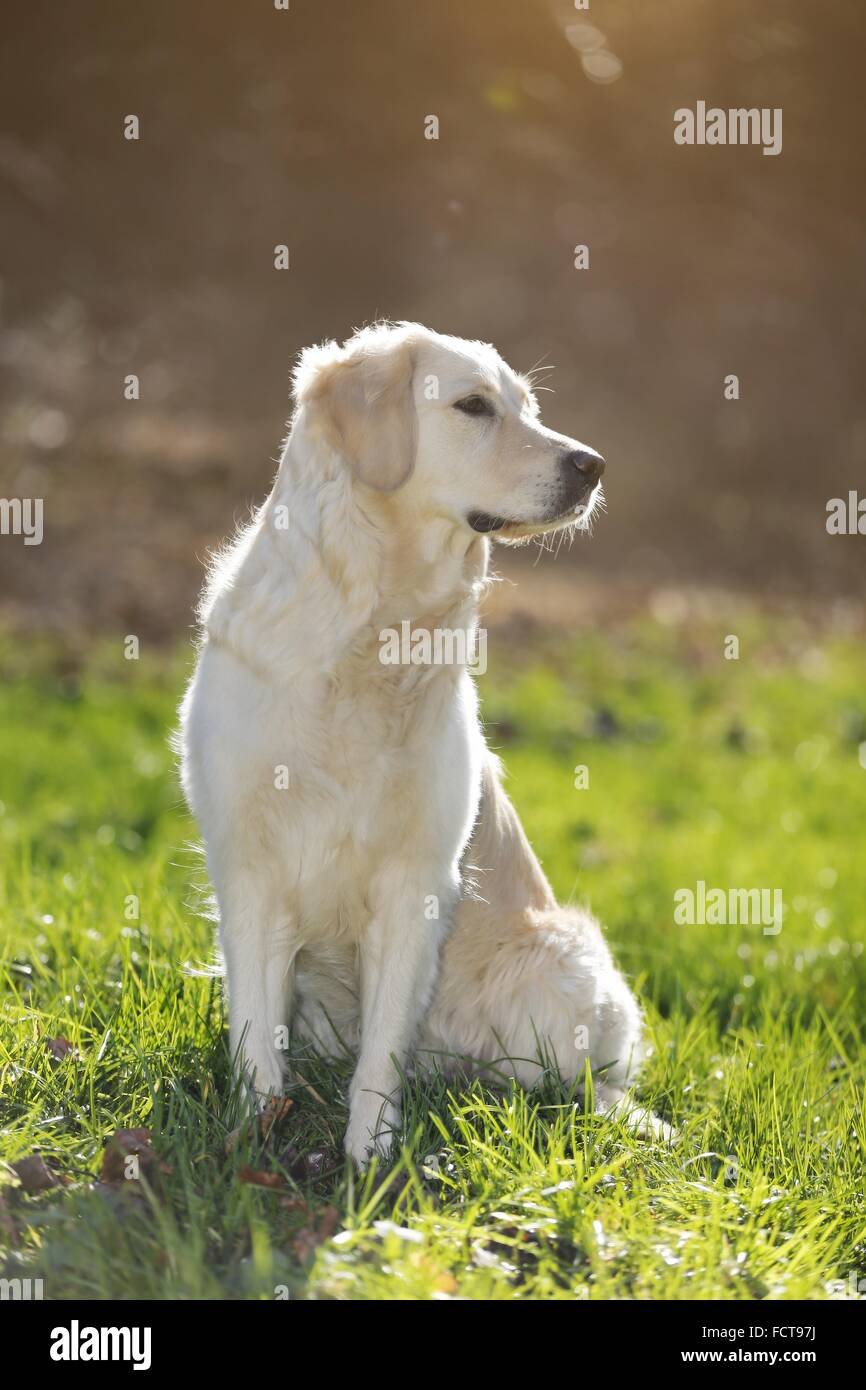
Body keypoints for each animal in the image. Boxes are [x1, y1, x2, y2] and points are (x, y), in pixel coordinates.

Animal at [179, 322, 647, 1162]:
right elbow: (255, 1035)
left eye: (528, 407)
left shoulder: (415, 881)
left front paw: (370, 1158)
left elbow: (383, 1051)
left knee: (582, 1087)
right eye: (474, 406)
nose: (591, 466)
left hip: (564, 969)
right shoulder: (249, 868)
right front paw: (254, 1137)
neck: (373, 632)